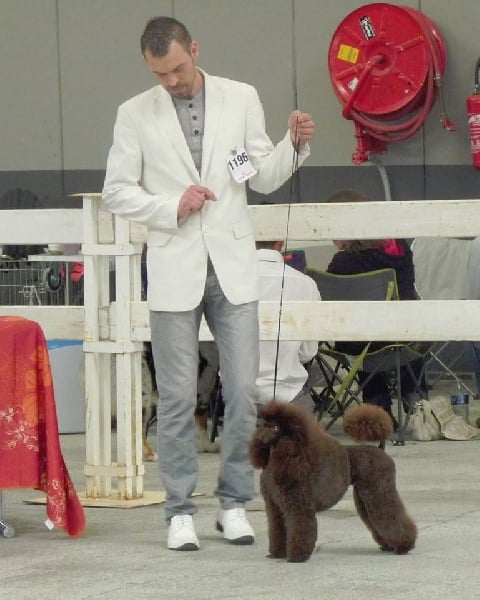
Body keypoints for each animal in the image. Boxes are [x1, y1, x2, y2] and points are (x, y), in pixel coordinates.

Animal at [250, 401, 417, 562]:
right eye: (263, 425)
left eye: (275, 428)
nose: (259, 438)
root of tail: (381, 450)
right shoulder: (274, 508)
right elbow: (277, 530)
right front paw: (277, 554)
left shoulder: (298, 507)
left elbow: (300, 528)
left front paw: (296, 557)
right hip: (364, 496)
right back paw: (389, 546)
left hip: (379, 491)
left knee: (390, 516)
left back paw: (404, 546)